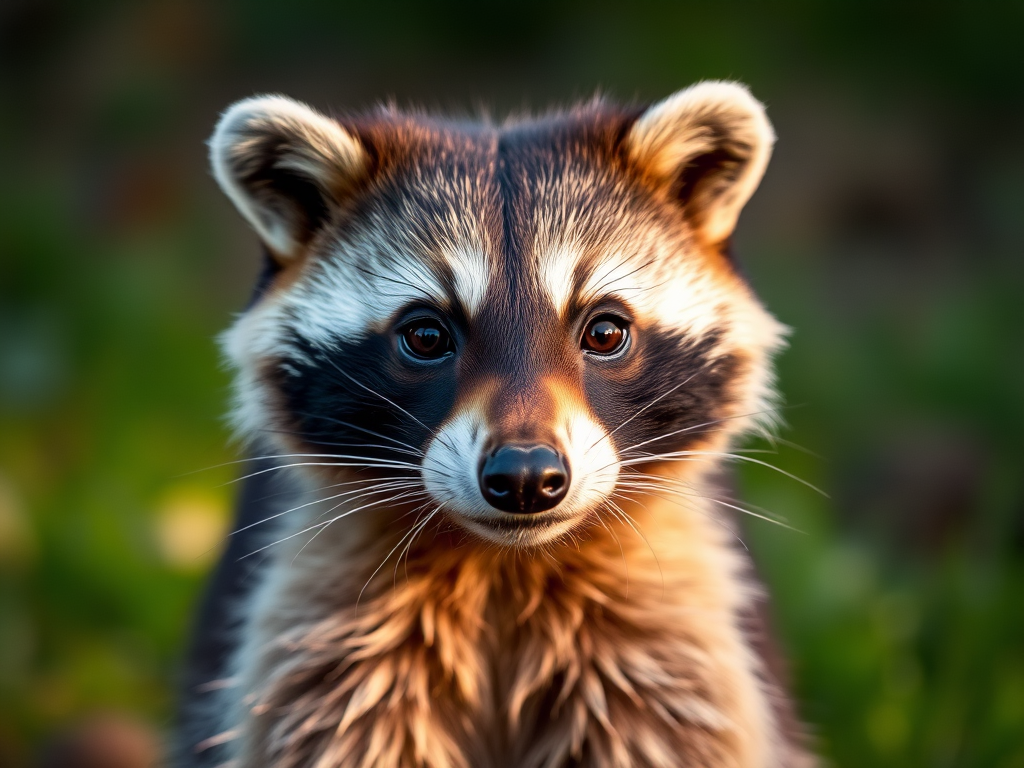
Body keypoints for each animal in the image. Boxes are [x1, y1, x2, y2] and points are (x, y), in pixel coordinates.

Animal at [175, 82, 814, 768]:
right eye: (426, 336)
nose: (527, 476)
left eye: (605, 332)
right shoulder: (321, 635)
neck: (504, 567)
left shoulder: (672, 641)